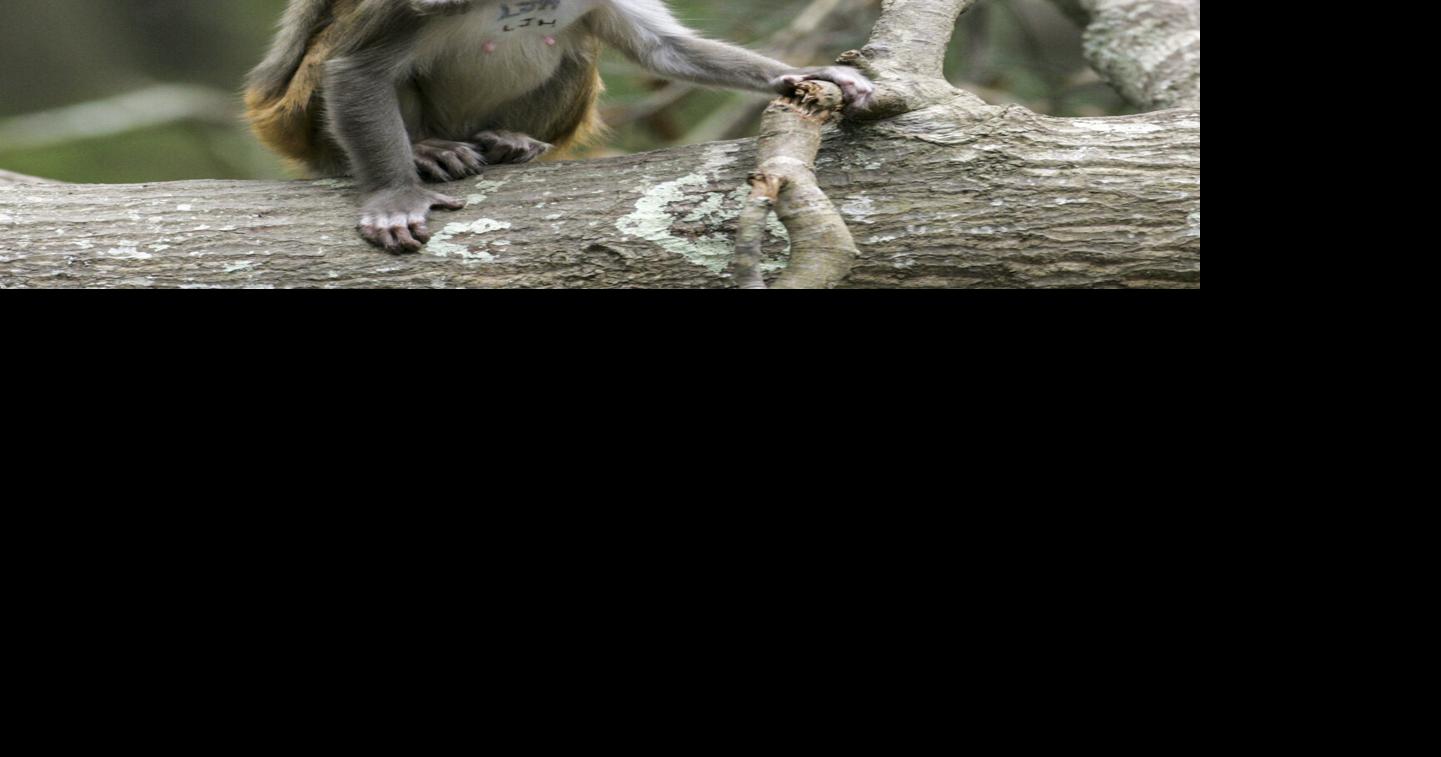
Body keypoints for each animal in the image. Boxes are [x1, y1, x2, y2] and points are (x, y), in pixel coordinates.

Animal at [245, 0, 874, 253]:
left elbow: (662, 48)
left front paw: (805, 73)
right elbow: (359, 70)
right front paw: (396, 198)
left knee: (574, 49)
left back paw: (506, 140)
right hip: (306, 118)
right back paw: (427, 150)